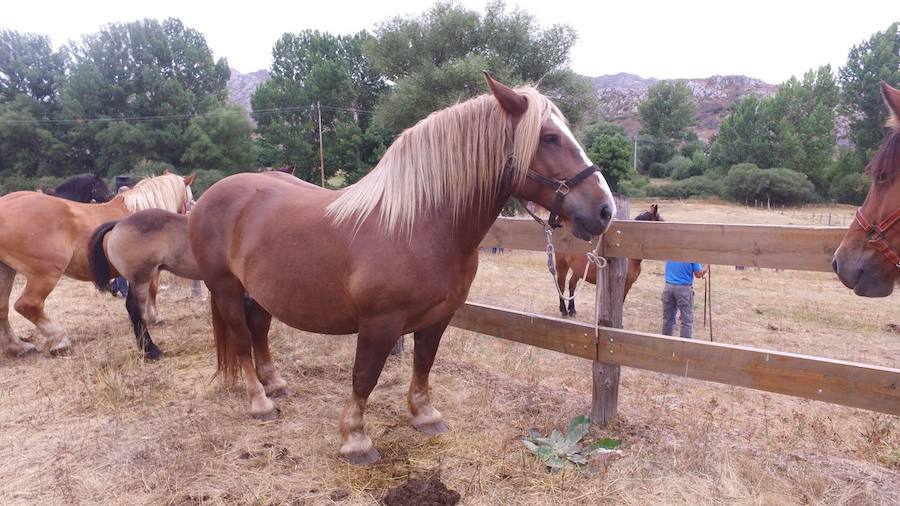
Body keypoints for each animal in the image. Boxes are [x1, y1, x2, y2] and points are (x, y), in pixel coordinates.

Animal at [186, 73, 616, 464]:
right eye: (550, 138)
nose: (604, 210)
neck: (419, 224)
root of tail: (211, 195)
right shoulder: (380, 322)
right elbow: (365, 376)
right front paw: (356, 439)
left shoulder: (440, 316)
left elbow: (423, 362)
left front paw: (425, 416)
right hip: (225, 289)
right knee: (241, 339)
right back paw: (260, 402)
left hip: (259, 292)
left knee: (259, 332)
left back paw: (274, 384)